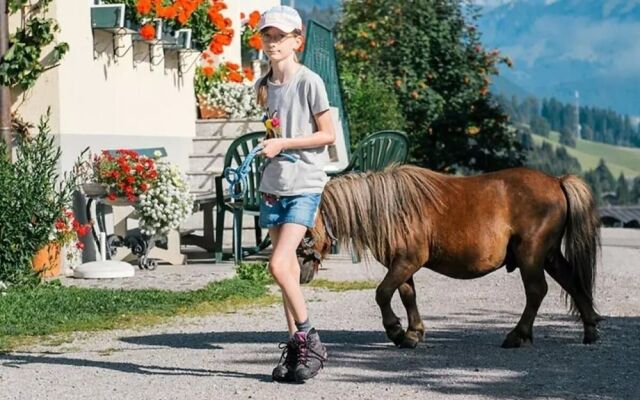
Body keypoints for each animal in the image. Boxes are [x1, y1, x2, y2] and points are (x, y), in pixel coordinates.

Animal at [310, 164, 600, 348]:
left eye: (307, 229)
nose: (303, 271)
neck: (392, 208)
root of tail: (558, 181)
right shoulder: (403, 264)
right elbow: (407, 295)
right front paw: (413, 333)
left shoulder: (407, 261)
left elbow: (383, 294)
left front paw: (396, 331)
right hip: (549, 255)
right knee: (572, 282)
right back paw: (590, 330)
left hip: (531, 254)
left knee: (537, 291)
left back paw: (518, 335)